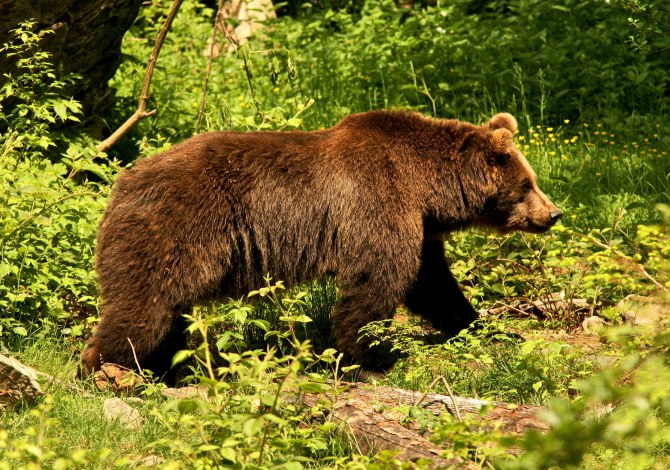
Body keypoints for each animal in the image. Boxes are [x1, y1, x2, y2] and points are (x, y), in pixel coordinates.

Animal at [82, 109, 568, 378]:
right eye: (527, 184)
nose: (554, 213)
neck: (427, 189)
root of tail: (120, 185)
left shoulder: (422, 228)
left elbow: (433, 284)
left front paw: (486, 327)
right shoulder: (378, 201)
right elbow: (377, 281)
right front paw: (371, 358)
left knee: (167, 312)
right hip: (177, 229)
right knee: (145, 306)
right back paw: (104, 368)